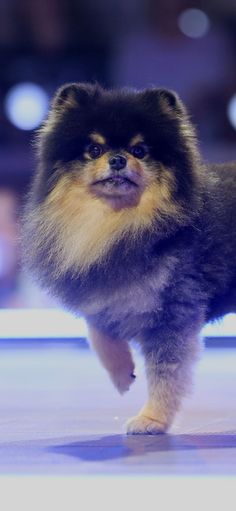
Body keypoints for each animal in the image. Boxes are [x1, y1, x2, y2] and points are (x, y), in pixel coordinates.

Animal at [23, 84, 236, 436]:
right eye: (94, 149)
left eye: (140, 150)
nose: (118, 159)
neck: (120, 223)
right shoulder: (104, 285)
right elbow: (97, 331)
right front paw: (122, 373)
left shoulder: (172, 309)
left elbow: (166, 371)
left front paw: (152, 419)